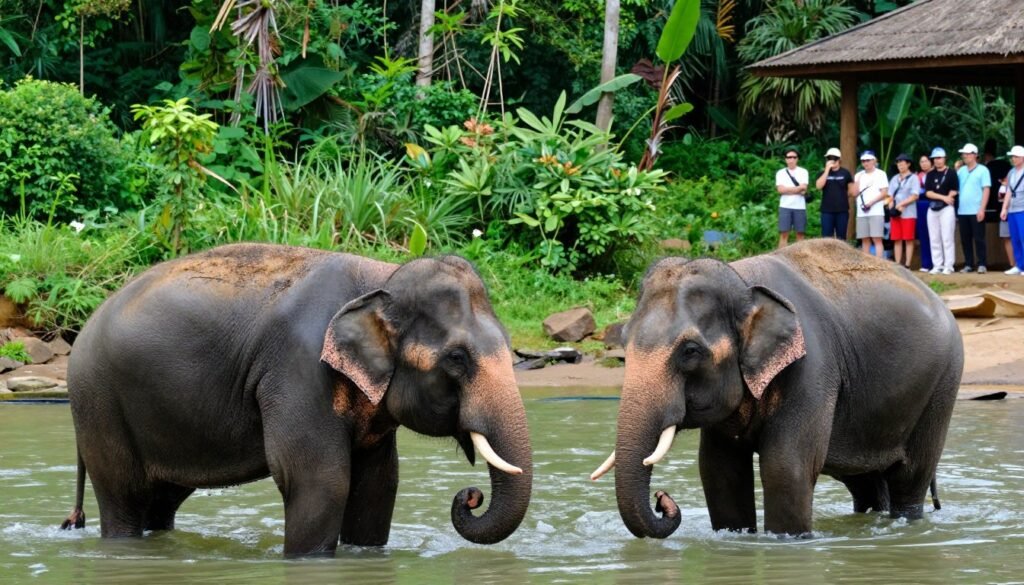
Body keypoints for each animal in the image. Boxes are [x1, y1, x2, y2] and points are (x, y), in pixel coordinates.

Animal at [60, 243, 532, 556]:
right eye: (457, 358)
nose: (470, 496)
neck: (381, 278)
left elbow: (378, 483)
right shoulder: (299, 370)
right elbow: (319, 479)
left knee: (162, 499)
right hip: (100, 404)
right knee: (123, 497)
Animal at [591, 239, 962, 538]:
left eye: (690, 351)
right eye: (623, 342)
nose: (661, 499)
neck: (742, 280)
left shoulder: (812, 368)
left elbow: (785, 468)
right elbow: (719, 470)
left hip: (942, 386)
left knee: (909, 478)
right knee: (866, 484)